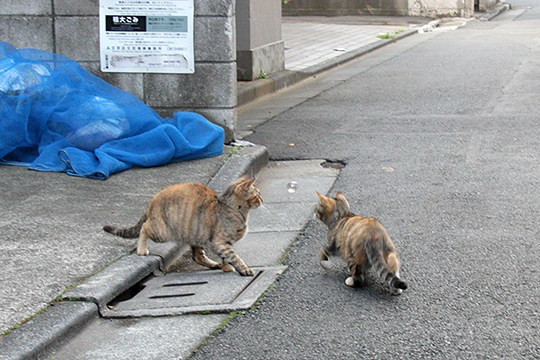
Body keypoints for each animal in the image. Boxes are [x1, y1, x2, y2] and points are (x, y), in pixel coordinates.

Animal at [103, 176, 264, 276]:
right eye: (257, 194)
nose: (262, 199)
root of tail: (153, 200)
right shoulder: (220, 242)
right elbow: (234, 256)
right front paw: (244, 269)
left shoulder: (223, 243)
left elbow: (227, 257)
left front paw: (226, 267)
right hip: (162, 232)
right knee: (144, 227)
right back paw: (142, 249)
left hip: (196, 235)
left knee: (197, 257)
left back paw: (214, 264)